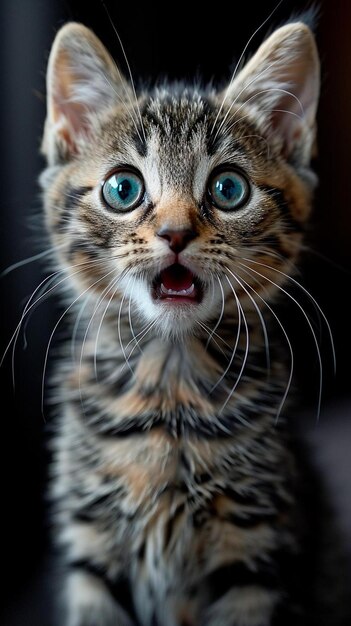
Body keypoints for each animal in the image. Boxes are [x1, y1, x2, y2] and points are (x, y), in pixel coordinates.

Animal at [39, 17, 344, 624]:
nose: (175, 233)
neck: (170, 385)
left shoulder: (254, 550)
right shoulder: (92, 547)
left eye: (229, 189)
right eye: (123, 188)